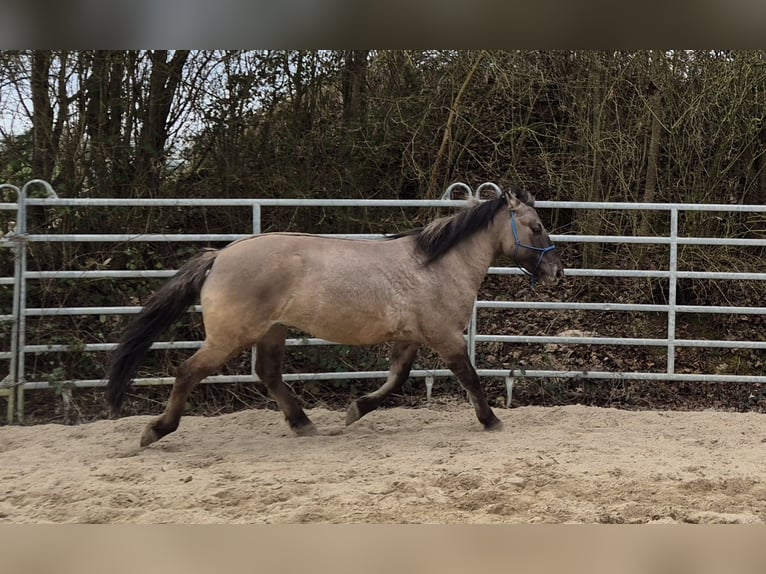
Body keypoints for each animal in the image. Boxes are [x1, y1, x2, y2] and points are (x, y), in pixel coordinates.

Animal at [105, 187, 568, 448]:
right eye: (537, 226)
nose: (557, 271)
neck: (435, 265)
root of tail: (218, 256)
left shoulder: (409, 337)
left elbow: (396, 380)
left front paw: (355, 410)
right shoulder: (446, 336)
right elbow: (469, 377)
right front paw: (492, 421)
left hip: (271, 332)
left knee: (268, 374)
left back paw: (304, 424)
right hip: (229, 337)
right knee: (188, 372)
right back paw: (155, 431)